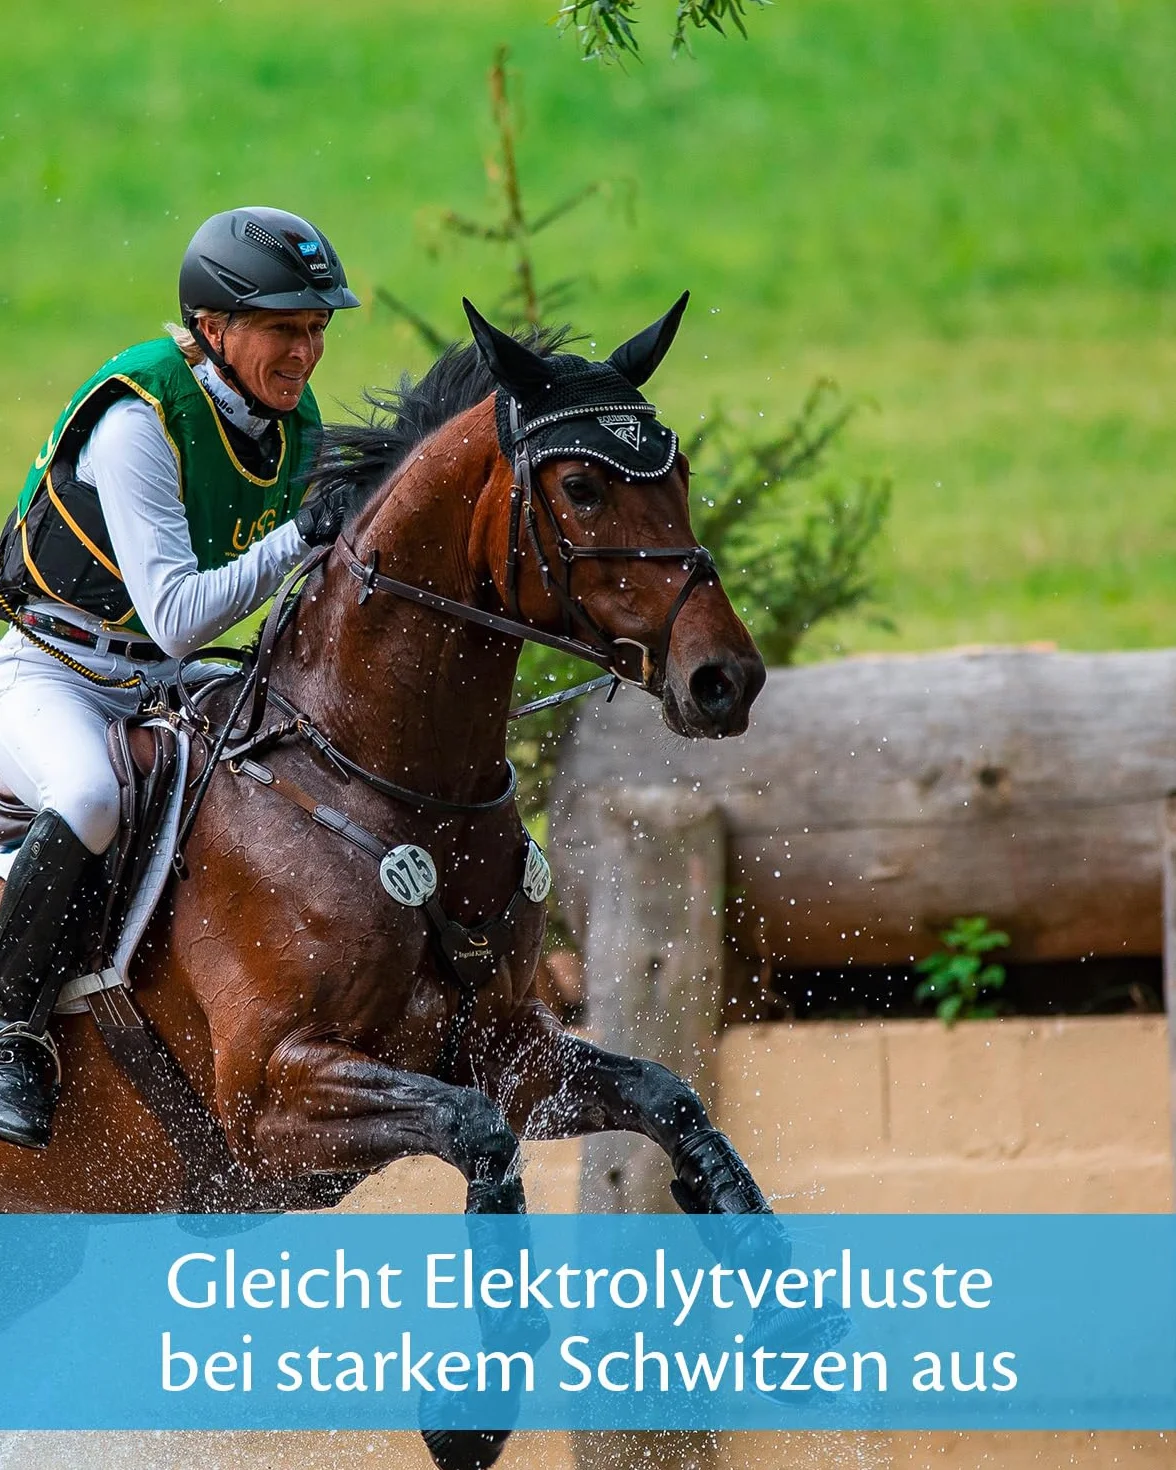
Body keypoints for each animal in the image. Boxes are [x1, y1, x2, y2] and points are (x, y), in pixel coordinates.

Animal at [0, 296, 774, 1467]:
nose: (725, 678)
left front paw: (783, 1292)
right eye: (583, 489)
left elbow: (664, 1096)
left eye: (677, 469)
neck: (378, 784)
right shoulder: (269, 1100)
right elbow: (478, 1134)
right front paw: (472, 1409)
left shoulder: (508, 1046)